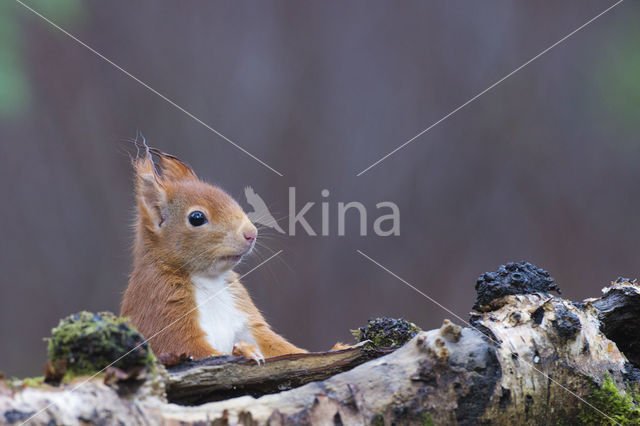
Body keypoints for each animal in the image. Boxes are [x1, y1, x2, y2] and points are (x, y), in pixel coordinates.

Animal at [122, 146, 308, 362]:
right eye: (196, 218)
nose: (251, 233)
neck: (208, 280)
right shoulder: (160, 306)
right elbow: (190, 348)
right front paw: (244, 351)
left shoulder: (243, 313)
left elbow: (276, 344)